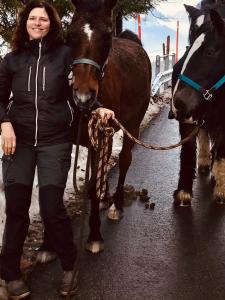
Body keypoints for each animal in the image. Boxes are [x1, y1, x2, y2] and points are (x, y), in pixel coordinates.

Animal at [68, 0, 151, 253]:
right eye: (70, 34)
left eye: (106, 37)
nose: (83, 96)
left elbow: (93, 183)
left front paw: (94, 235)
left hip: (132, 125)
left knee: (124, 160)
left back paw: (116, 205)